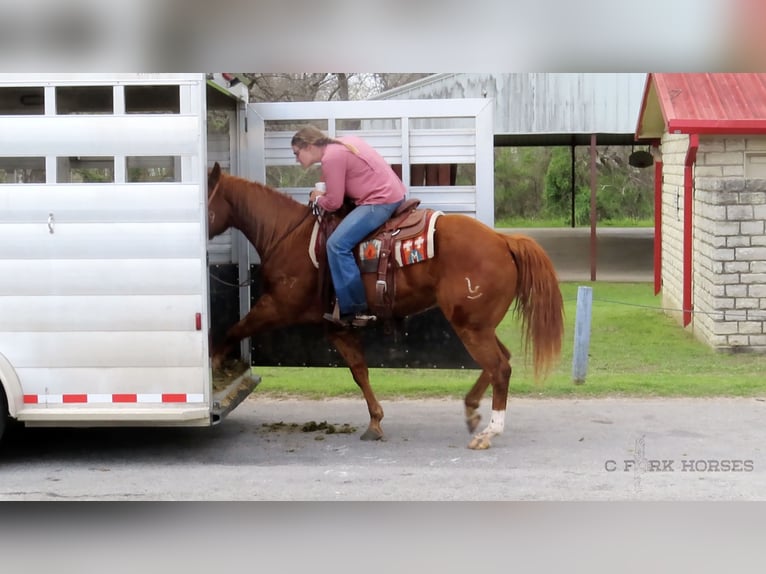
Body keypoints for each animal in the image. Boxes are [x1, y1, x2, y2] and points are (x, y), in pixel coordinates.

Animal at [207, 162, 568, 450]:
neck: (288, 235)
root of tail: (503, 240)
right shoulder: (336, 325)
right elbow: (359, 371)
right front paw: (375, 422)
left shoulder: (277, 306)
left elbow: (234, 330)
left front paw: (213, 364)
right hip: (480, 325)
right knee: (499, 362)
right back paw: (471, 409)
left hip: (471, 326)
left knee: (500, 367)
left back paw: (489, 433)